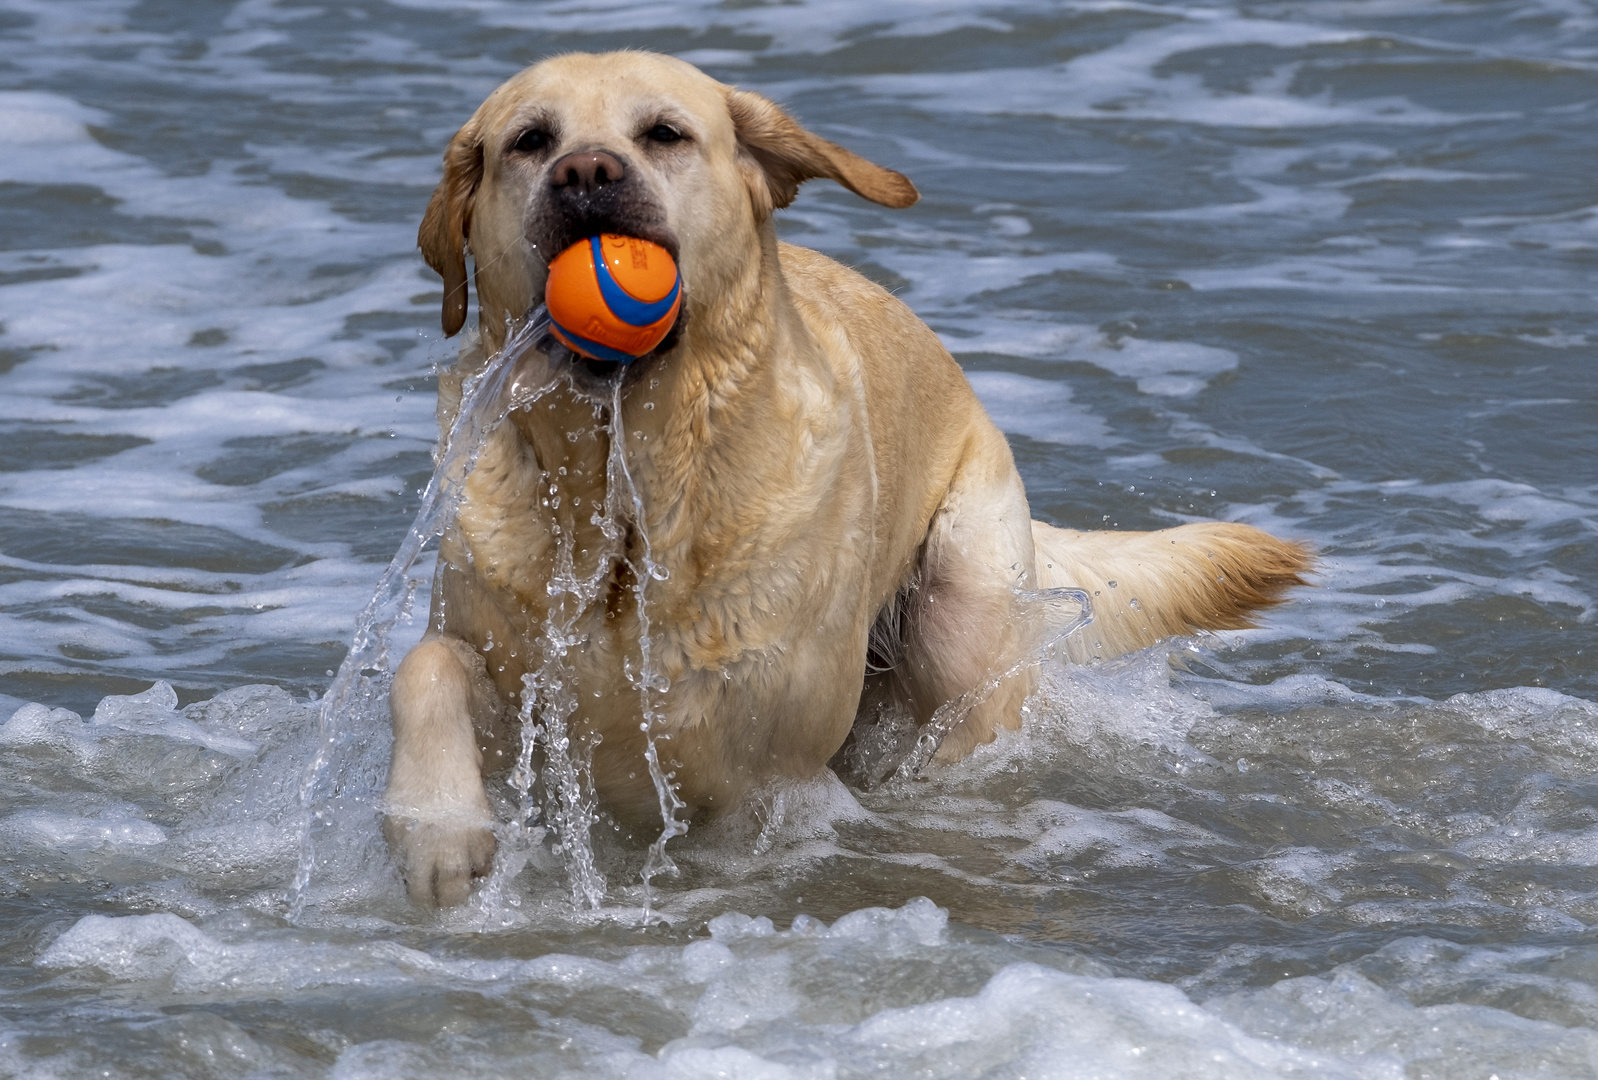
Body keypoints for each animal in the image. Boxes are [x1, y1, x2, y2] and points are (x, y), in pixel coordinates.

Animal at [386, 52, 1310, 913]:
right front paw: (438, 832)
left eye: (664, 134)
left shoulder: (759, 758)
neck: (623, 497)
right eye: (530, 141)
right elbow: (426, 667)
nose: (584, 173)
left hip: (960, 613)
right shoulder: (525, 685)